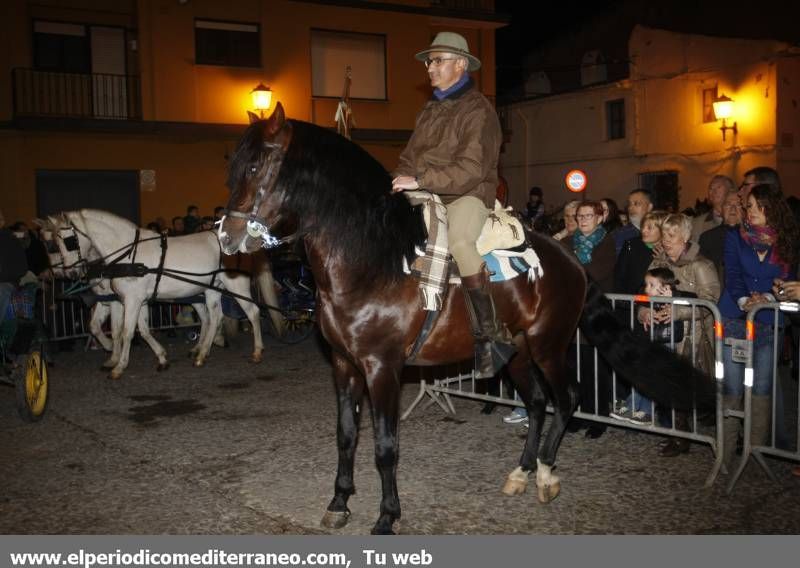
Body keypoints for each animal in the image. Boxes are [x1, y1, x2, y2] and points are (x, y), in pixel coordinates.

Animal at [50, 211, 276, 380]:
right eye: (53, 244)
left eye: (69, 241)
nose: (68, 273)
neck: (129, 254)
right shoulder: (136, 300)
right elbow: (141, 330)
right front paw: (161, 358)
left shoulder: (131, 300)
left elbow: (126, 332)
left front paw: (118, 366)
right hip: (211, 288)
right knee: (213, 317)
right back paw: (202, 354)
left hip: (236, 285)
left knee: (252, 312)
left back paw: (256, 352)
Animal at [216, 104, 708, 536]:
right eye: (235, 167)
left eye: (256, 167)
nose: (227, 237)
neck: (373, 260)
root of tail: (571, 261)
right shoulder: (343, 365)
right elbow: (346, 436)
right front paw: (339, 503)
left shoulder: (382, 369)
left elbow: (385, 447)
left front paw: (387, 516)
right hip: (517, 353)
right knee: (536, 402)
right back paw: (520, 472)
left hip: (549, 345)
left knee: (567, 398)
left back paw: (546, 475)